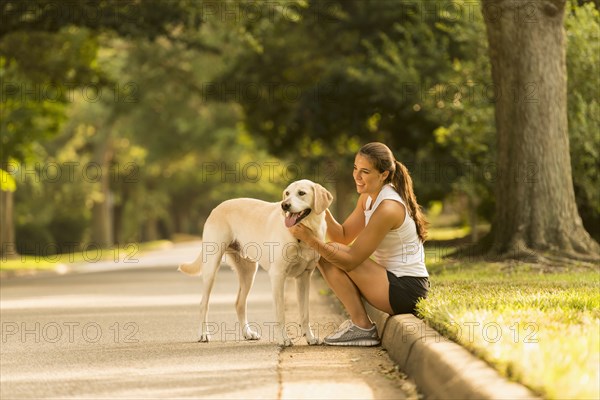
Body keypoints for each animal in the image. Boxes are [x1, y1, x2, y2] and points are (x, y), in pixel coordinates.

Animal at [180, 180, 336, 346]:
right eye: (287, 193)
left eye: (301, 193)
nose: (284, 205)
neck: (304, 234)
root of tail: (217, 207)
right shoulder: (278, 275)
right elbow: (280, 313)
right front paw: (283, 339)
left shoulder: (304, 277)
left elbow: (305, 313)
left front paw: (310, 337)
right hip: (211, 266)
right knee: (204, 303)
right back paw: (203, 334)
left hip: (249, 272)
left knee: (239, 303)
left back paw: (247, 333)